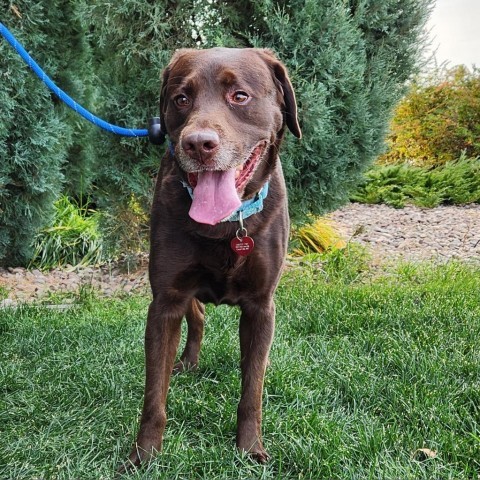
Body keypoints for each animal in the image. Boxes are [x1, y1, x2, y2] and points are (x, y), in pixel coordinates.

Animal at [125, 47, 302, 468]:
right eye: (181, 99)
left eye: (239, 96)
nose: (197, 144)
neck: (226, 223)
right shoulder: (165, 301)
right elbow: (154, 395)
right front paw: (145, 455)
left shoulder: (261, 305)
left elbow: (252, 389)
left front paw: (250, 448)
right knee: (199, 314)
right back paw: (188, 362)